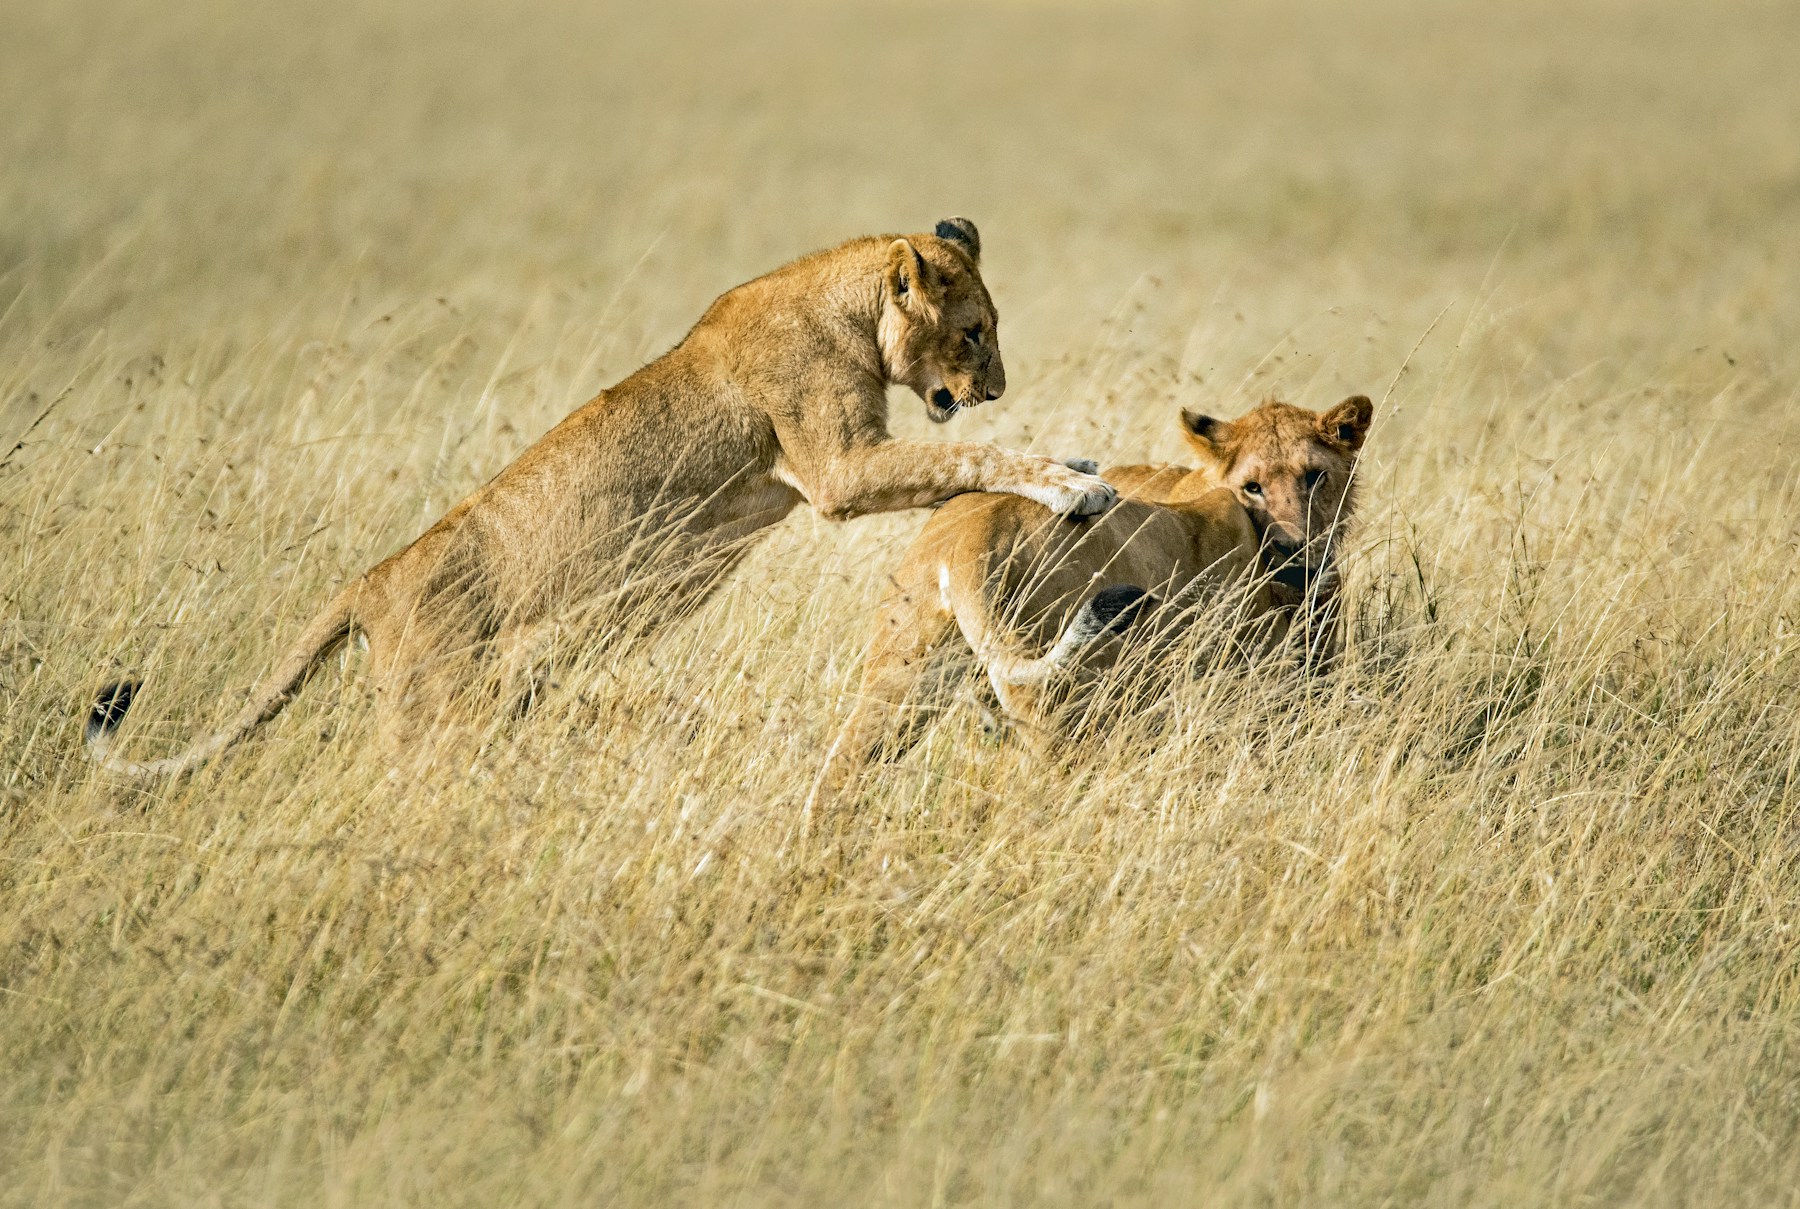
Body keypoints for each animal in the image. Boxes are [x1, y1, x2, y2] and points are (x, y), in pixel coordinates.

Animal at [85, 218, 1119, 778]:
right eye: (975, 330)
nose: (996, 385)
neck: (848, 309)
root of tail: (370, 580)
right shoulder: (833, 471)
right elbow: (971, 455)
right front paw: (1072, 482)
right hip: (430, 714)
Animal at [811, 394, 1373, 799]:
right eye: (1252, 486)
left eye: (1315, 476)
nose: (1296, 550)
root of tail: (967, 538)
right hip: (1067, 702)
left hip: (903, 674)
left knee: (841, 772)